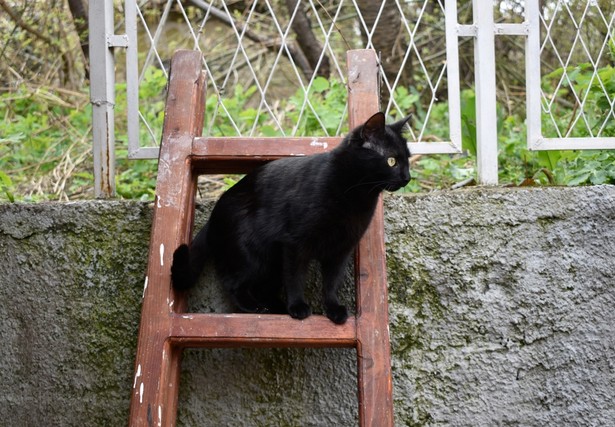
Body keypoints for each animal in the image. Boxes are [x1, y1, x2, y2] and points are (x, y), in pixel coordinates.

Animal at [173, 112, 412, 322]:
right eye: (391, 161)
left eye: (408, 160)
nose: (408, 177)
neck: (355, 196)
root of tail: (215, 210)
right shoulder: (295, 244)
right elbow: (296, 278)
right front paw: (298, 307)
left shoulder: (340, 249)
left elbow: (331, 282)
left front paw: (333, 308)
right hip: (250, 254)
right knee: (233, 283)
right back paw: (256, 307)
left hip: (271, 263)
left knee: (265, 289)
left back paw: (277, 307)